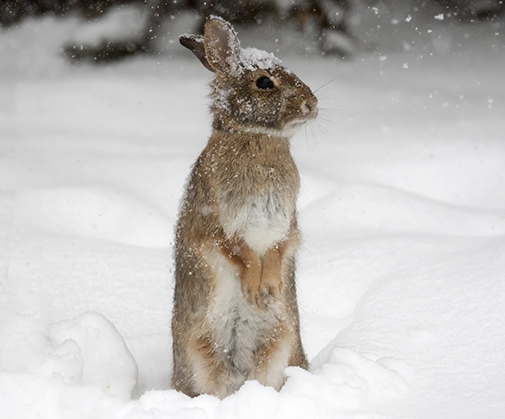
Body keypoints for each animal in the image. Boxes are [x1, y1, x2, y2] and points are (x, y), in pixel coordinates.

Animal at [171, 16, 318, 399]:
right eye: (264, 82)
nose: (312, 105)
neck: (254, 137)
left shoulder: (287, 224)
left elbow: (279, 249)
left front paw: (270, 291)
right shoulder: (213, 224)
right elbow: (241, 252)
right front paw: (256, 290)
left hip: (280, 346)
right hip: (198, 355)